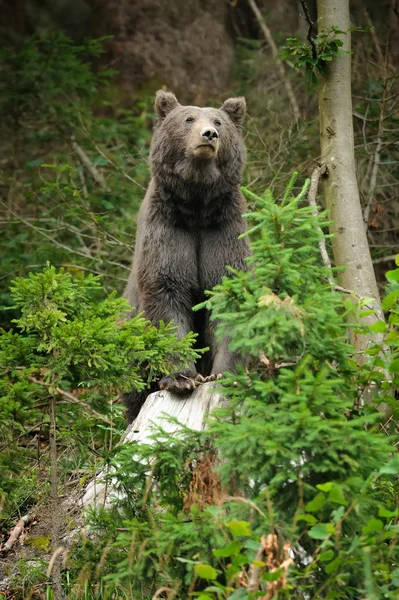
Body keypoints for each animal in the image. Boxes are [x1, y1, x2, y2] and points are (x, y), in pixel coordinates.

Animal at [125, 90, 250, 422]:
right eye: (188, 118)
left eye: (219, 121)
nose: (209, 135)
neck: (196, 204)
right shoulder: (168, 228)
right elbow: (167, 292)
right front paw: (182, 377)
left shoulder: (223, 228)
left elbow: (227, 294)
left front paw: (224, 374)